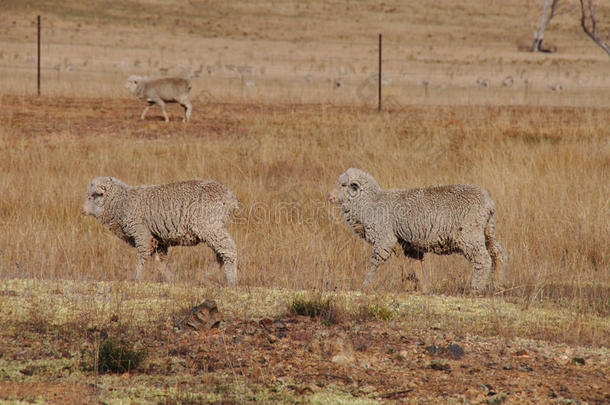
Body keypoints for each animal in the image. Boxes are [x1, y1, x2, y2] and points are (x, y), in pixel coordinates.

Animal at [82, 176, 239, 284]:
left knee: (229, 251)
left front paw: (138, 278)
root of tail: (230, 198)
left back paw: (231, 281)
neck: (121, 202)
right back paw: (209, 277)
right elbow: (159, 261)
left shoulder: (141, 233)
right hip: (213, 229)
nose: (82, 210)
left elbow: (142, 257)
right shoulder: (158, 239)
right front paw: (172, 278)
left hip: (211, 227)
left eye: (94, 195)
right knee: (220, 255)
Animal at [328, 167, 504, 294]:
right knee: (497, 253)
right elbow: (417, 266)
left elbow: (375, 262)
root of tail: (489, 203)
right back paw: (498, 285)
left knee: (483, 259)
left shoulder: (384, 238)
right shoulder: (410, 244)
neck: (370, 202)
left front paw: (365, 285)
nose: (329, 196)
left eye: (343, 185)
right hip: (487, 230)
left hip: (469, 234)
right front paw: (426, 289)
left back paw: (476, 289)